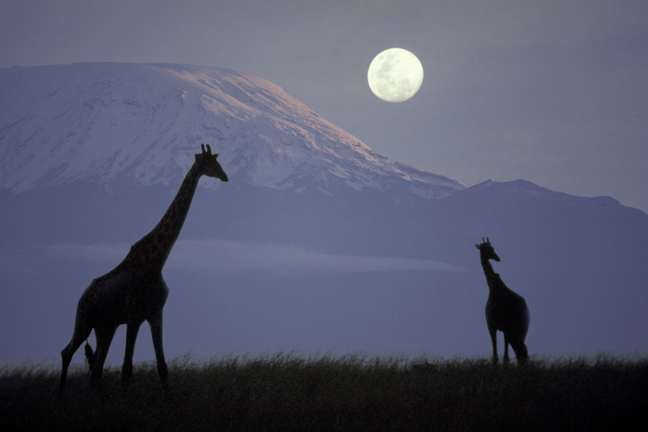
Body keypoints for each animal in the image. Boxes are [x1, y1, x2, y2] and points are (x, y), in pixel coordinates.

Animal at [58, 143, 229, 390]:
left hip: (105, 326)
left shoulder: (155, 313)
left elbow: (162, 367)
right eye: (208, 163)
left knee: (97, 368)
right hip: (84, 319)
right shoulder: (134, 315)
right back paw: (59, 393)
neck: (156, 262)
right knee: (67, 352)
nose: (225, 176)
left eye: (217, 161)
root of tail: (82, 295)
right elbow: (127, 368)